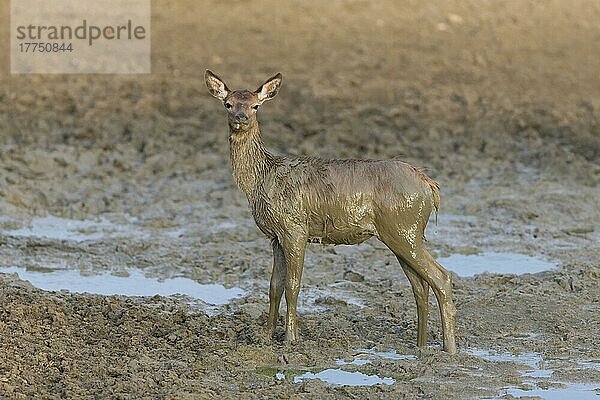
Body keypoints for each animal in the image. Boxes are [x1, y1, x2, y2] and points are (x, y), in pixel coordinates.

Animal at [204, 71, 458, 354]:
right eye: (228, 103)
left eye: (256, 105)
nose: (241, 117)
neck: (259, 180)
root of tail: (429, 185)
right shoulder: (275, 236)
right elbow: (274, 286)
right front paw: (265, 336)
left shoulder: (295, 228)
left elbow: (293, 285)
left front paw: (290, 339)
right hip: (402, 233)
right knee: (420, 286)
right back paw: (421, 347)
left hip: (405, 229)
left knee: (441, 277)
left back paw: (449, 349)